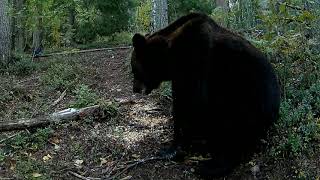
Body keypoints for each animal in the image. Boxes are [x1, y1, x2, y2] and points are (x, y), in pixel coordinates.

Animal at [130, 13, 280, 179]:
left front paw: (175, 148)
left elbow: (192, 102)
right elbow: (179, 104)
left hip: (246, 99)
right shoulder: (179, 77)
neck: (172, 57)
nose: (135, 89)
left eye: (134, 69)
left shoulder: (196, 59)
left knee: (232, 128)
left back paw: (211, 165)